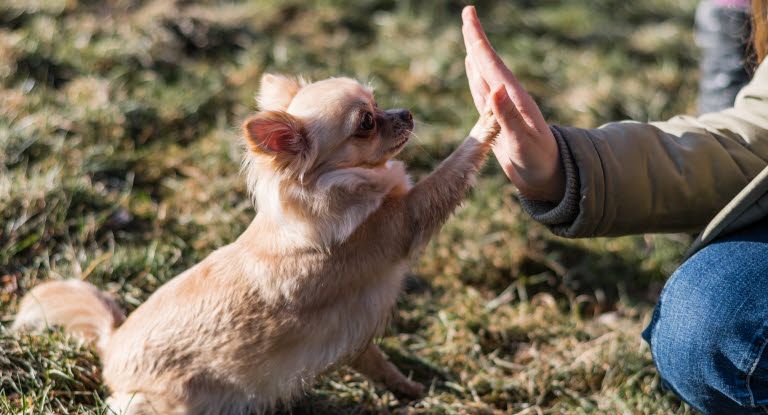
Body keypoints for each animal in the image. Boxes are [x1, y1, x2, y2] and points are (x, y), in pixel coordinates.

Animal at [16, 75, 504, 415]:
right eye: (365, 122)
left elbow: (378, 363)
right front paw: (490, 117)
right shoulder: (407, 222)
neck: (340, 186)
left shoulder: (355, 333)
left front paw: (410, 389)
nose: (406, 112)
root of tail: (112, 343)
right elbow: (451, 169)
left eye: (377, 100)